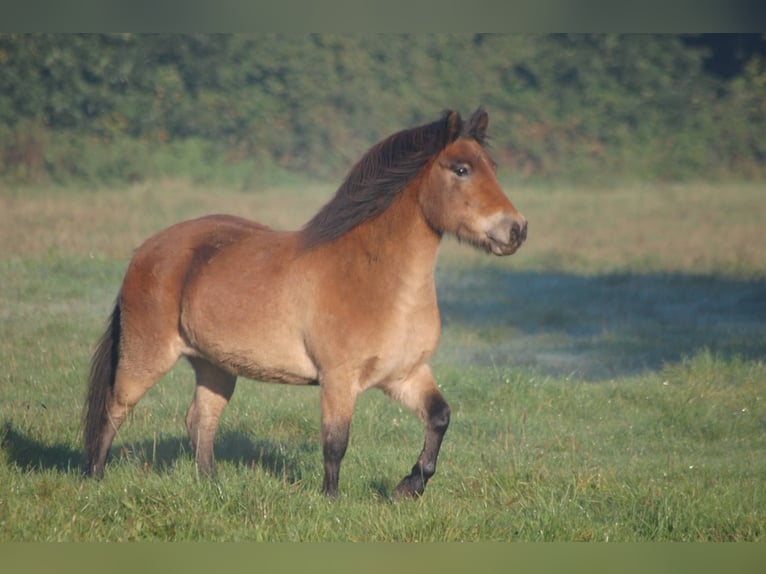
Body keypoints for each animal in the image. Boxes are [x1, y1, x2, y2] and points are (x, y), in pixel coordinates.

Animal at [84, 107, 528, 500]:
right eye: (461, 169)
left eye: (492, 165)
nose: (516, 229)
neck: (377, 280)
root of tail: (146, 249)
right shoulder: (338, 380)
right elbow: (335, 443)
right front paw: (331, 502)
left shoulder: (405, 375)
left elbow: (440, 418)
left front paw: (409, 487)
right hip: (147, 356)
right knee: (113, 409)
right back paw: (95, 480)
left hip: (215, 366)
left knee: (199, 422)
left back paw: (214, 488)